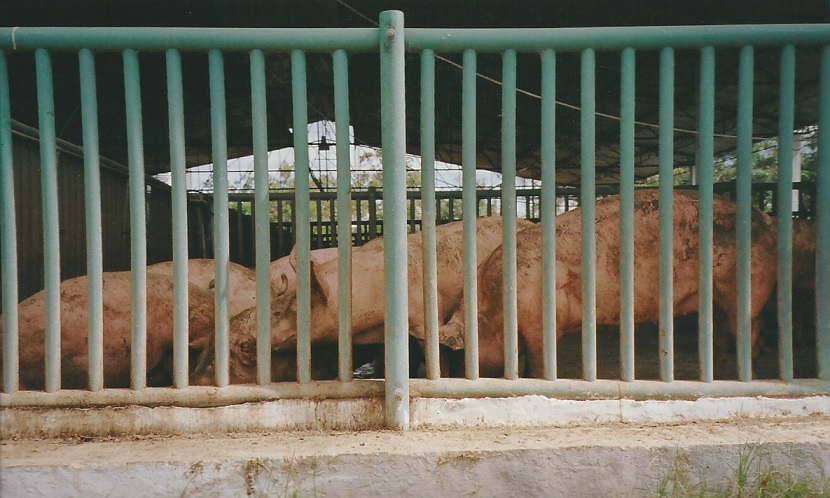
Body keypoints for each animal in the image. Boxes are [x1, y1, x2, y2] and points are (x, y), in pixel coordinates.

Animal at [462, 191, 780, 378]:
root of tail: (766, 219)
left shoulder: (539, 320)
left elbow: (539, 363)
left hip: (746, 288)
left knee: (747, 330)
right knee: (722, 331)